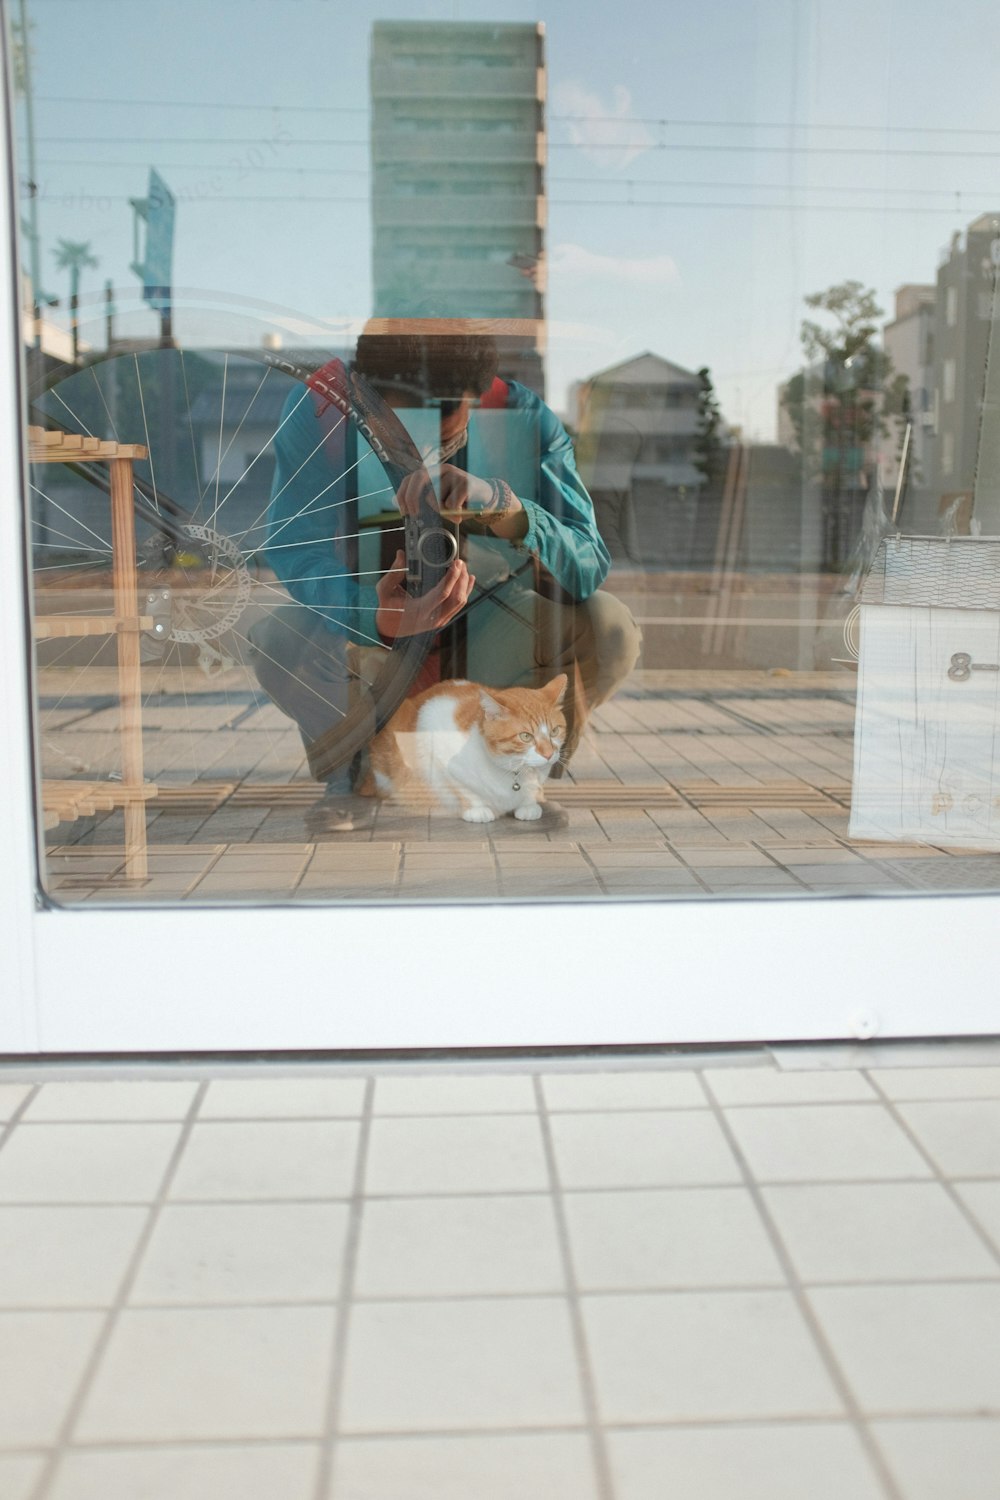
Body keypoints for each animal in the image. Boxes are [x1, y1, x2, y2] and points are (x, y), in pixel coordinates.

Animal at [361, 678, 566, 828]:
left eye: (555, 731)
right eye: (525, 736)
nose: (549, 754)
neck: (513, 772)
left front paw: (528, 805)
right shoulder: (434, 732)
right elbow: (464, 788)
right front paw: (477, 809)